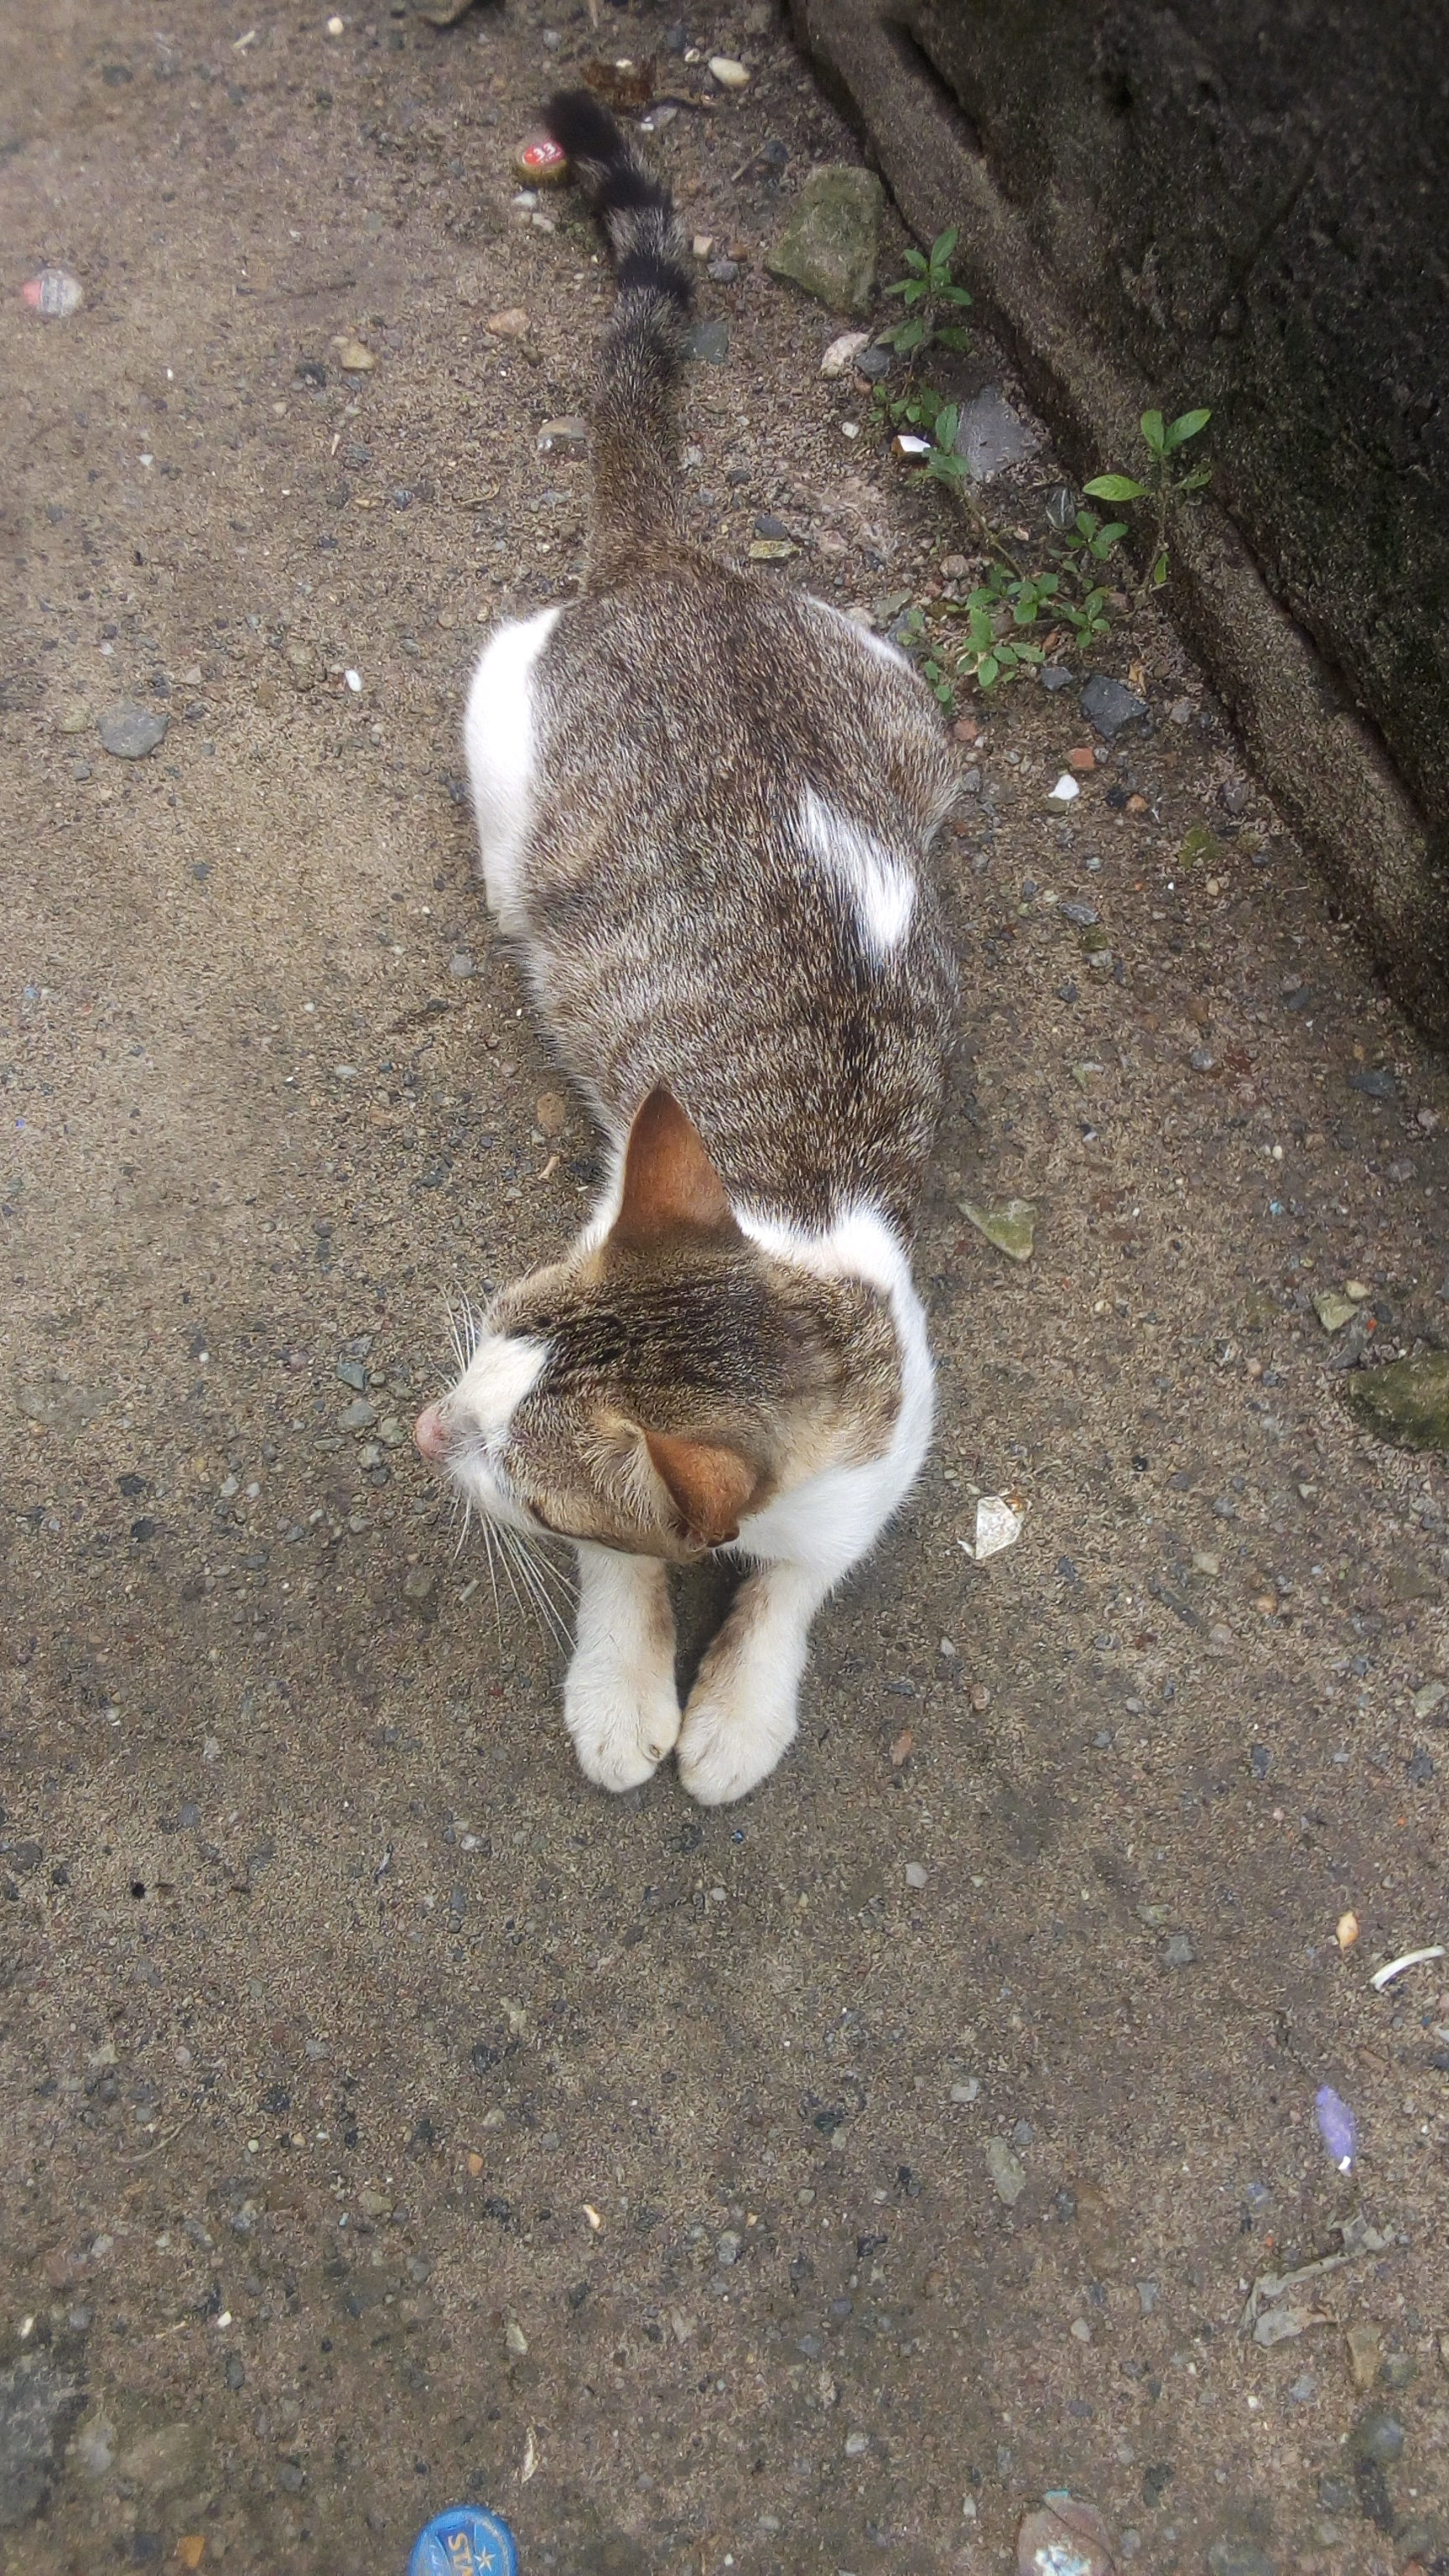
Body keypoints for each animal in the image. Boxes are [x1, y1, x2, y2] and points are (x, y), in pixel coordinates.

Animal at [413, 88, 958, 1805]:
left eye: (525, 1484)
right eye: (493, 1335)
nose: (422, 1430)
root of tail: (676, 571)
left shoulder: (882, 1455)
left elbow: (797, 1578)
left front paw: (741, 1700)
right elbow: (636, 1569)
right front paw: (625, 1680)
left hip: (907, 701)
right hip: (508, 715)